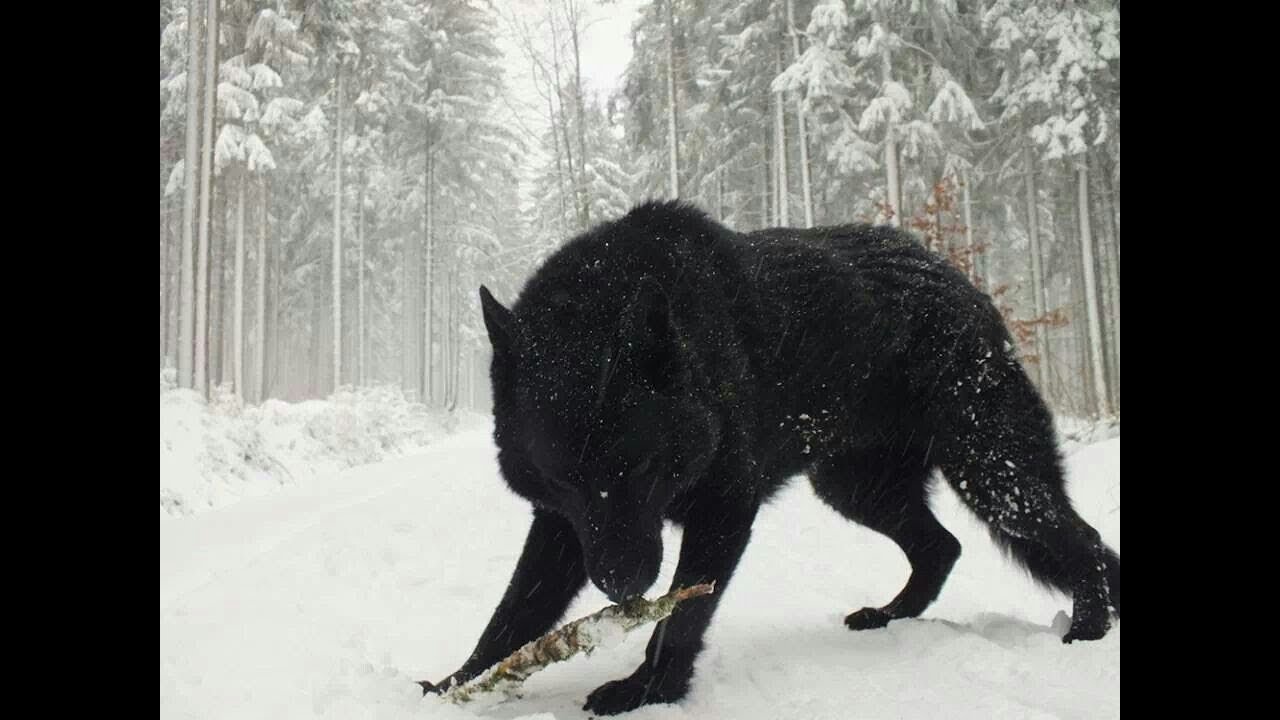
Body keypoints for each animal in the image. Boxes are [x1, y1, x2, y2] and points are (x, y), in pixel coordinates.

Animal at [419, 199, 1121, 712]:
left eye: (641, 467)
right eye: (564, 478)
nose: (622, 586)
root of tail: (961, 283)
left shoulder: (723, 512)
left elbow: (680, 618)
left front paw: (647, 691)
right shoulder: (565, 527)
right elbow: (513, 612)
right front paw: (455, 684)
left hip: (994, 477)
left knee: (1082, 541)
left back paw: (1087, 629)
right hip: (857, 489)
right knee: (941, 547)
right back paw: (890, 616)